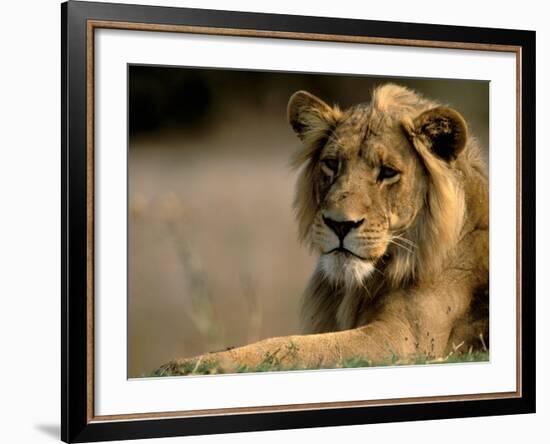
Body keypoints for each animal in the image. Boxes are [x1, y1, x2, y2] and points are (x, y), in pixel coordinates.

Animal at [157, 84, 490, 374]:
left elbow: (291, 348)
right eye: (332, 164)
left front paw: (189, 365)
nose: (340, 224)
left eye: (388, 172)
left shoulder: (406, 340)